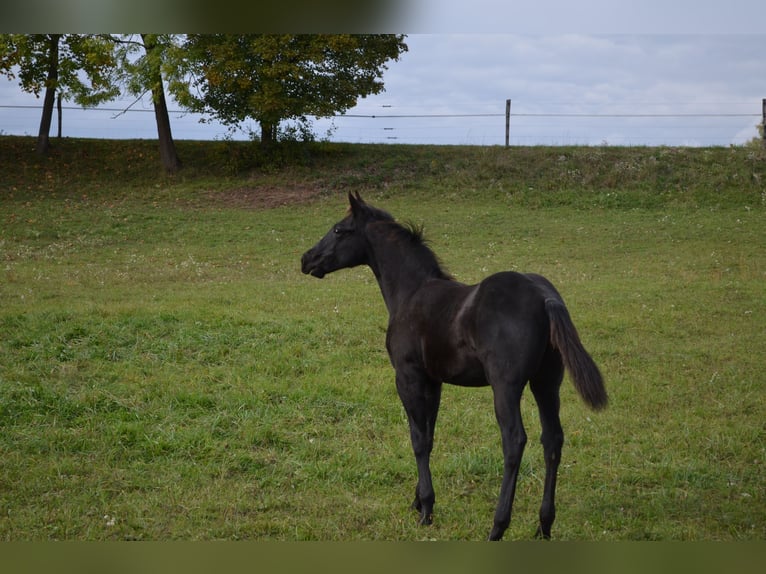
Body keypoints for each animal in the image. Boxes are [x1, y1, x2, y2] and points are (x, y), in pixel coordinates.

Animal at [300, 195, 608, 544]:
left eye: (339, 230)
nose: (306, 259)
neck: (411, 292)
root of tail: (546, 298)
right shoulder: (434, 382)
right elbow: (430, 435)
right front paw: (418, 501)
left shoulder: (407, 376)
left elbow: (418, 439)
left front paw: (426, 510)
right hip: (546, 383)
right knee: (552, 440)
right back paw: (544, 525)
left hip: (506, 387)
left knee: (514, 441)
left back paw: (497, 527)